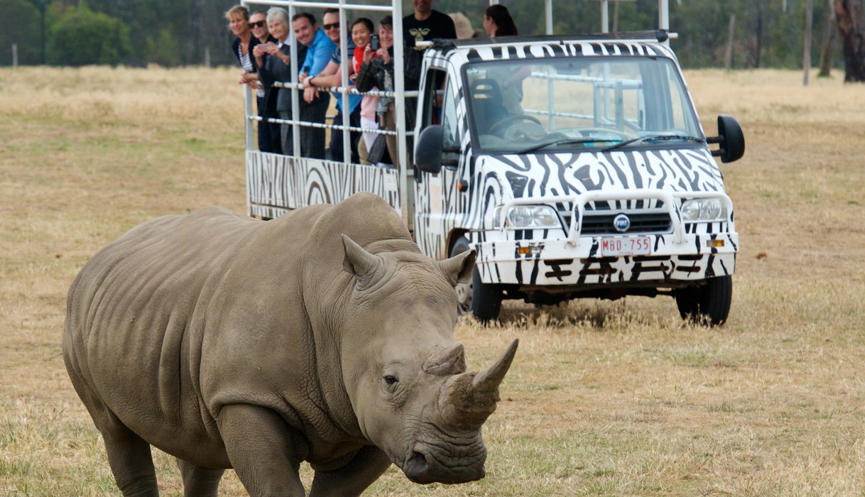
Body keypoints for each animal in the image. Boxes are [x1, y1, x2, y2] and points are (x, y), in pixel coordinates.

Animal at [63, 193, 518, 497]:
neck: (339, 304)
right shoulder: (247, 395)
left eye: (463, 367)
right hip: (79, 315)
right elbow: (277, 487)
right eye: (390, 379)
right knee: (115, 430)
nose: (454, 461)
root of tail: (105, 252)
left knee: (198, 442)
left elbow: (335, 491)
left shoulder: (380, 420)